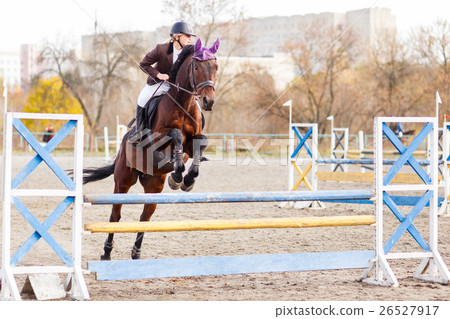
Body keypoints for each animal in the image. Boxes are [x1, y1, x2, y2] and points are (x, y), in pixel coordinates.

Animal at [83, 39, 221, 260]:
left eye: (215, 67)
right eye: (196, 67)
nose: (209, 101)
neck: (183, 103)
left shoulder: (192, 144)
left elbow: (200, 144)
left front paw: (187, 180)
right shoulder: (158, 139)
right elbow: (175, 135)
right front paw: (178, 176)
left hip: (153, 185)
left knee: (144, 217)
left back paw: (136, 253)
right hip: (123, 181)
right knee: (115, 216)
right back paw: (106, 253)